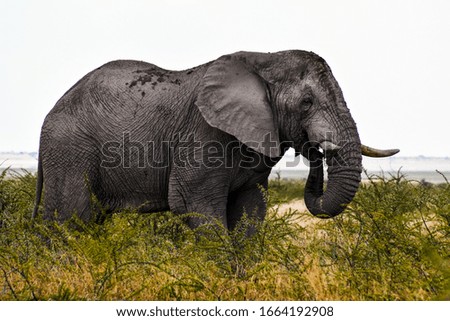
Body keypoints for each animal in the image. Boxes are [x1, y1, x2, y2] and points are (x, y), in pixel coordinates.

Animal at [32, 50, 398, 229]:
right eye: (306, 102)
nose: (315, 150)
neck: (263, 60)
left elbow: (250, 213)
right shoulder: (203, 134)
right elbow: (195, 206)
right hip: (70, 148)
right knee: (70, 219)